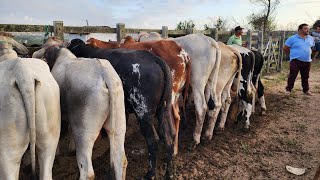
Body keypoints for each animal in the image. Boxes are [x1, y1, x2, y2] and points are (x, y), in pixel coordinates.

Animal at [68, 39, 176, 179]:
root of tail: (155, 59)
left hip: (143, 113)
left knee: (153, 140)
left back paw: (150, 173)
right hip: (164, 109)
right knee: (169, 136)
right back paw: (169, 173)